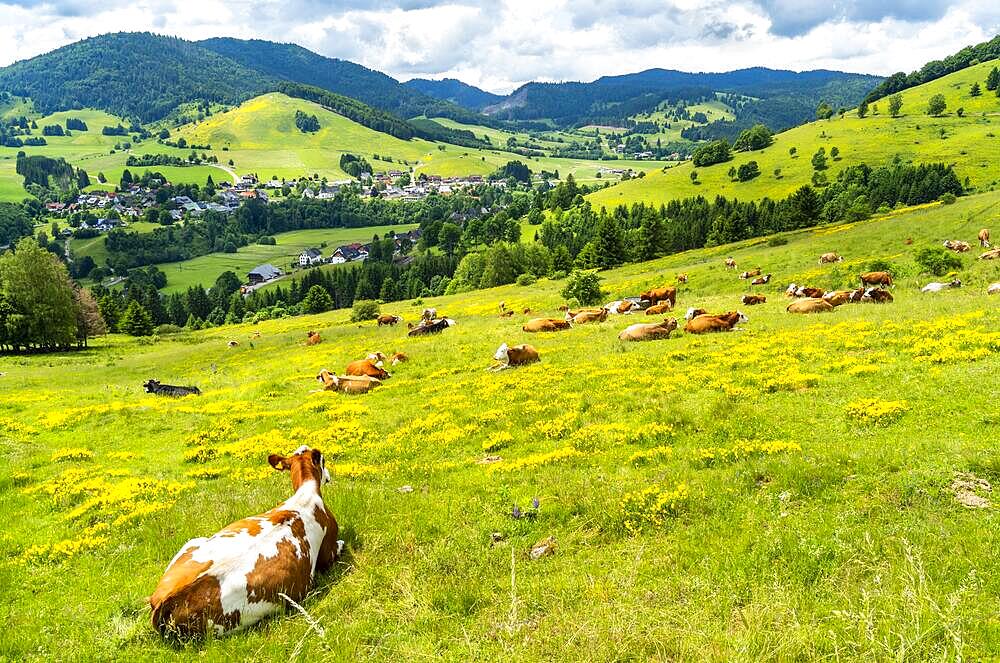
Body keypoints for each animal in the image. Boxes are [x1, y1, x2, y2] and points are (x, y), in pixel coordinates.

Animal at [148, 446, 342, 640]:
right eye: (324, 461)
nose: (329, 477)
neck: (305, 494)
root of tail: (166, 600)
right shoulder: (329, 551)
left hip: (193, 541)